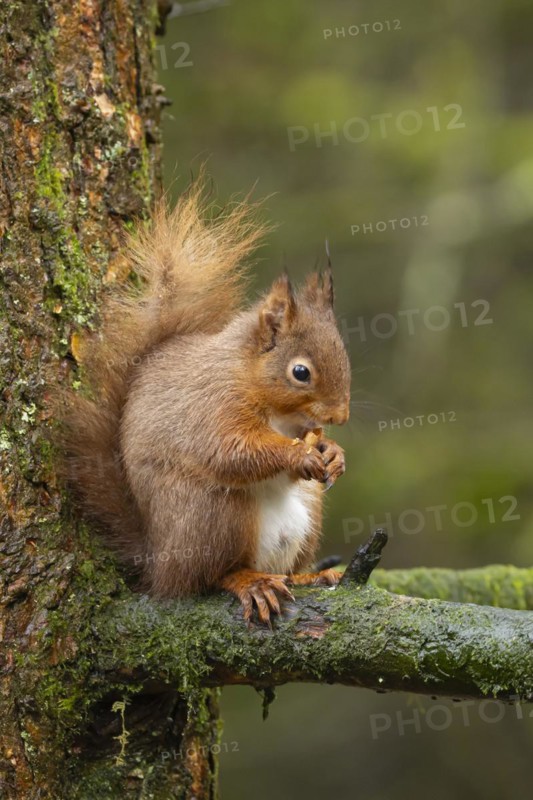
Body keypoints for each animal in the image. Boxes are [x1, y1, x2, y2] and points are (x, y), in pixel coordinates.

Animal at [63, 179, 351, 624]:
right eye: (300, 372)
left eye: (344, 352)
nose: (341, 414)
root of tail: (159, 561)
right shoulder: (213, 405)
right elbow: (230, 450)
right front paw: (298, 455)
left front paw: (333, 452)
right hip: (213, 512)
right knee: (208, 577)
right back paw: (250, 583)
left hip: (308, 510)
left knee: (285, 564)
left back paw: (310, 576)